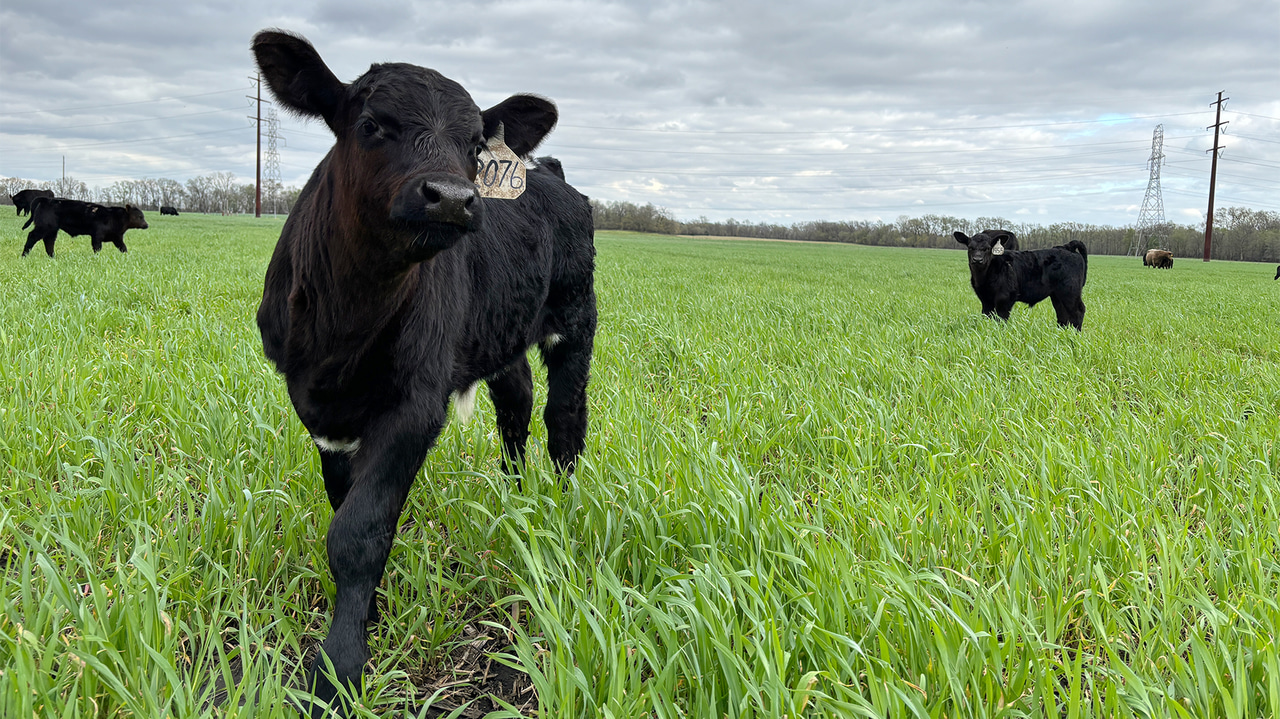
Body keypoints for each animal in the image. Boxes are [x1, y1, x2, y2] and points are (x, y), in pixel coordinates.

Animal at [250, 29, 596, 715]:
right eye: (371, 125)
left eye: (474, 145)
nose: (455, 198)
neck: (343, 328)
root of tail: (549, 171)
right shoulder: (320, 408)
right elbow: (347, 509)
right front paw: (369, 615)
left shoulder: (414, 406)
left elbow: (358, 532)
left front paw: (338, 670)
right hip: (500, 328)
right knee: (516, 400)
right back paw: (513, 492)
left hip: (576, 315)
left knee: (564, 418)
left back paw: (562, 506)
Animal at [954, 229, 1088, 329]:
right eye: (970, 247)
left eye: (987, 248)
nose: (977, 259)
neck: (983, 277)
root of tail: (1066, 247)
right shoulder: (985, 300)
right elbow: (987, 317)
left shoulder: (1005, 298)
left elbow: (1001, 320)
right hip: (1057, 295)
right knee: (1062, 314)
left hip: (1070, 292)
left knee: (1078, 311)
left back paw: (1075, 335)